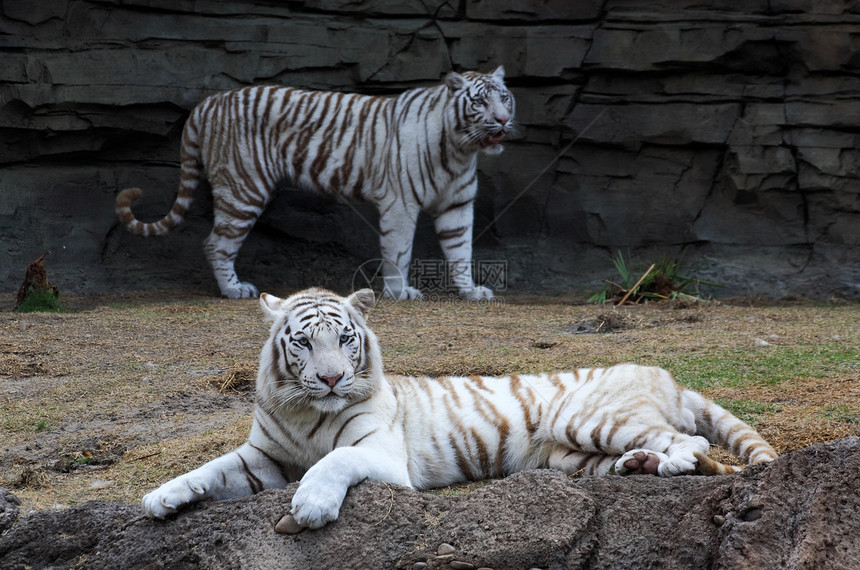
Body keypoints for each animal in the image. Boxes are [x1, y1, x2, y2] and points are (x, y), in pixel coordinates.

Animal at [116, 66, 512, 300]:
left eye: (504, 97)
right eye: (480, 102)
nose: (504, 120)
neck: (461, 149)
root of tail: (208, 102)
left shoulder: (457, 204)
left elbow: (461, 250)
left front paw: (470, 291)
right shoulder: (399, 204)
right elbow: (399, 252)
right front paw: (401, 293)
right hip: (243, 188)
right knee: (216, 243)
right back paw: (234, 289)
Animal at [143, 288, 780, 528]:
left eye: (345, 339)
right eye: (302, 342)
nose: (330, 377)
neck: (305, 411)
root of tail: (660, 372)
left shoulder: (380, 453)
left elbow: (333, 463)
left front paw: (312, 506)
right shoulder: (262, 456)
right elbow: (210, 468)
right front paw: (164, 497)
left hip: (589, 418)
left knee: (694, 444)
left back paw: (665, 464)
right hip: (569, 456)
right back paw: (639, 467)